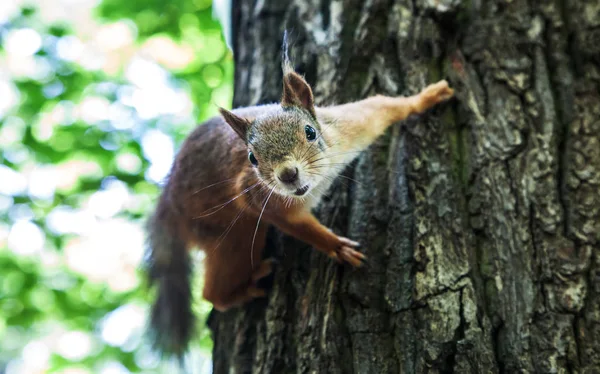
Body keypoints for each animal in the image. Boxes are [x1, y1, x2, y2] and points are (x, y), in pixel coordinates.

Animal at [145, 38, 454, 356]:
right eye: (252, 158)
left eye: (310, 131)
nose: (287, 175)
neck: (315, 182)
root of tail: (169, 201)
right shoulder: (260, 197)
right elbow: (298, 226)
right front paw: (336, 247)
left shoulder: (351, 127)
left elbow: (383, 105)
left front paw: (429, 96)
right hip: (231, 230)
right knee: (214, 290)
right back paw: (245, 288)